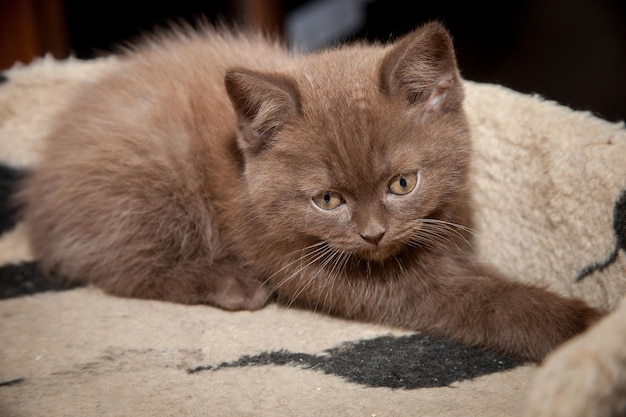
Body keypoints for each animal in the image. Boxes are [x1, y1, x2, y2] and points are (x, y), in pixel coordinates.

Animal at [15, 20, 600, 360]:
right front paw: (582, 326)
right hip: (149, 187)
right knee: (118, 267)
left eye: (403, 183)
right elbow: (480, 300)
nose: (373, 235)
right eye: (328, 200)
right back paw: (229, 282)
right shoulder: (315, 267)